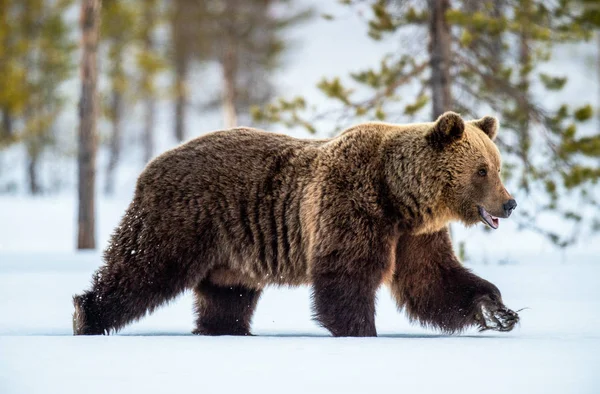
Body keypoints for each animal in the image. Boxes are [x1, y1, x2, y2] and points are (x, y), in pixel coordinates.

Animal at [72, 112, 516, 338]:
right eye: (481, 170)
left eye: (497, 166)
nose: (509, 203)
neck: (399, 196)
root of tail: (151, 165)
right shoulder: (352, 204)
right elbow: (346, 275)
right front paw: (361, 330)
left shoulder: (414, 235)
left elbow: (432, 279)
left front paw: (496, 308)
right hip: (183, 218)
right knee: (144, 268)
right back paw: (87, 315)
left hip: (230, 252)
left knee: (226, 295)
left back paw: (224, 331)